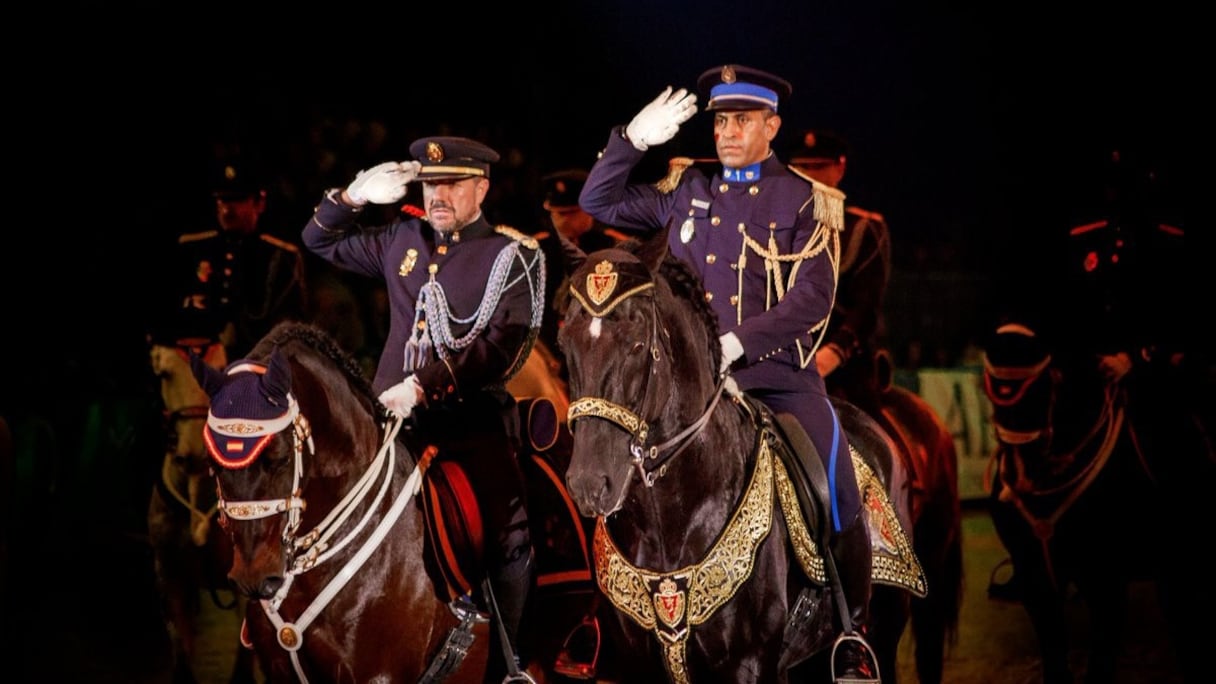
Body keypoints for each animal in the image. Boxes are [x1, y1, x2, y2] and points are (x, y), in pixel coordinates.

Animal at [556, 230, 924, 681]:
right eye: (564, 344)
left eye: (638, 344)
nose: (589, 484)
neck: (671, 517)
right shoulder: (638, 665)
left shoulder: (749, 663)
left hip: (886, 624)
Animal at [982, 321, 1211, 681]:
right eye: (994, 391)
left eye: (1044, 386)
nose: (1020, 476)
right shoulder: (1038, 582)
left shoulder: (1107, 583)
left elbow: (1100, 665)